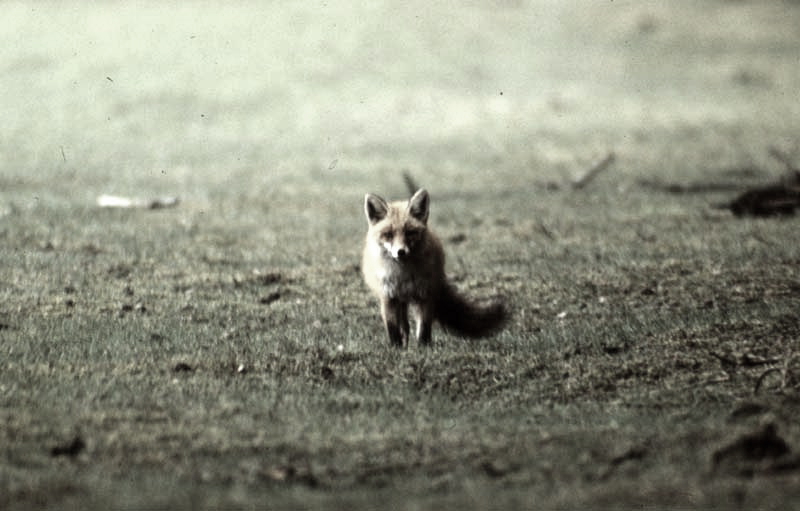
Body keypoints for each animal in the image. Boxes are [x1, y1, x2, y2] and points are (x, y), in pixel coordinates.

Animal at [362, 189, 506, 348]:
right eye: (388, 234)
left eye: (410, 232)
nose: (401, 252)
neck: (403, 276)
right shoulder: (388, 297)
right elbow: (393, 328)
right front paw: (396, 348)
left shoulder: (425, 294)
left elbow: (424, 328)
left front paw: (423, 348)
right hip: (400, 301)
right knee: (404, 326)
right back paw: (404, 345)